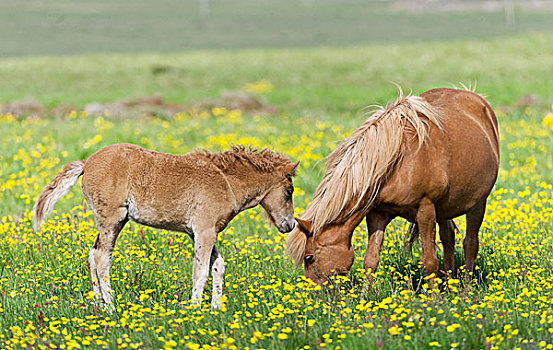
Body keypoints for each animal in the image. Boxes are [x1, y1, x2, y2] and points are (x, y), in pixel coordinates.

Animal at [33, 144, 298, 308]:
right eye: (289, 191)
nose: (289, 224)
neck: (226, 183)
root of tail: (87, 162)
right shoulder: (204, 230)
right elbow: (200, 271)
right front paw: (195, 308)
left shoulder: (203, 232)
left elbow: (218, 266)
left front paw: (216, 307)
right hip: (112, 219)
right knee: (101, 258)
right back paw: (111, 307)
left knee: (92, 254)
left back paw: (98, 304)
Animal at [286, 88, 498, 288]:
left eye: (309, 257)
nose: (315, 296)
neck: (398, 159)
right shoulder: (378, 213)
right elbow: (370, 261)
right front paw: (366, 297)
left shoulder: (426, 210)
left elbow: (429, 262)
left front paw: (433, 299)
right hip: (445, 208)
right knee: (448, 238)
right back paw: (448, 286)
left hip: (477, 204)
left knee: (470, 244)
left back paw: (466, 289)